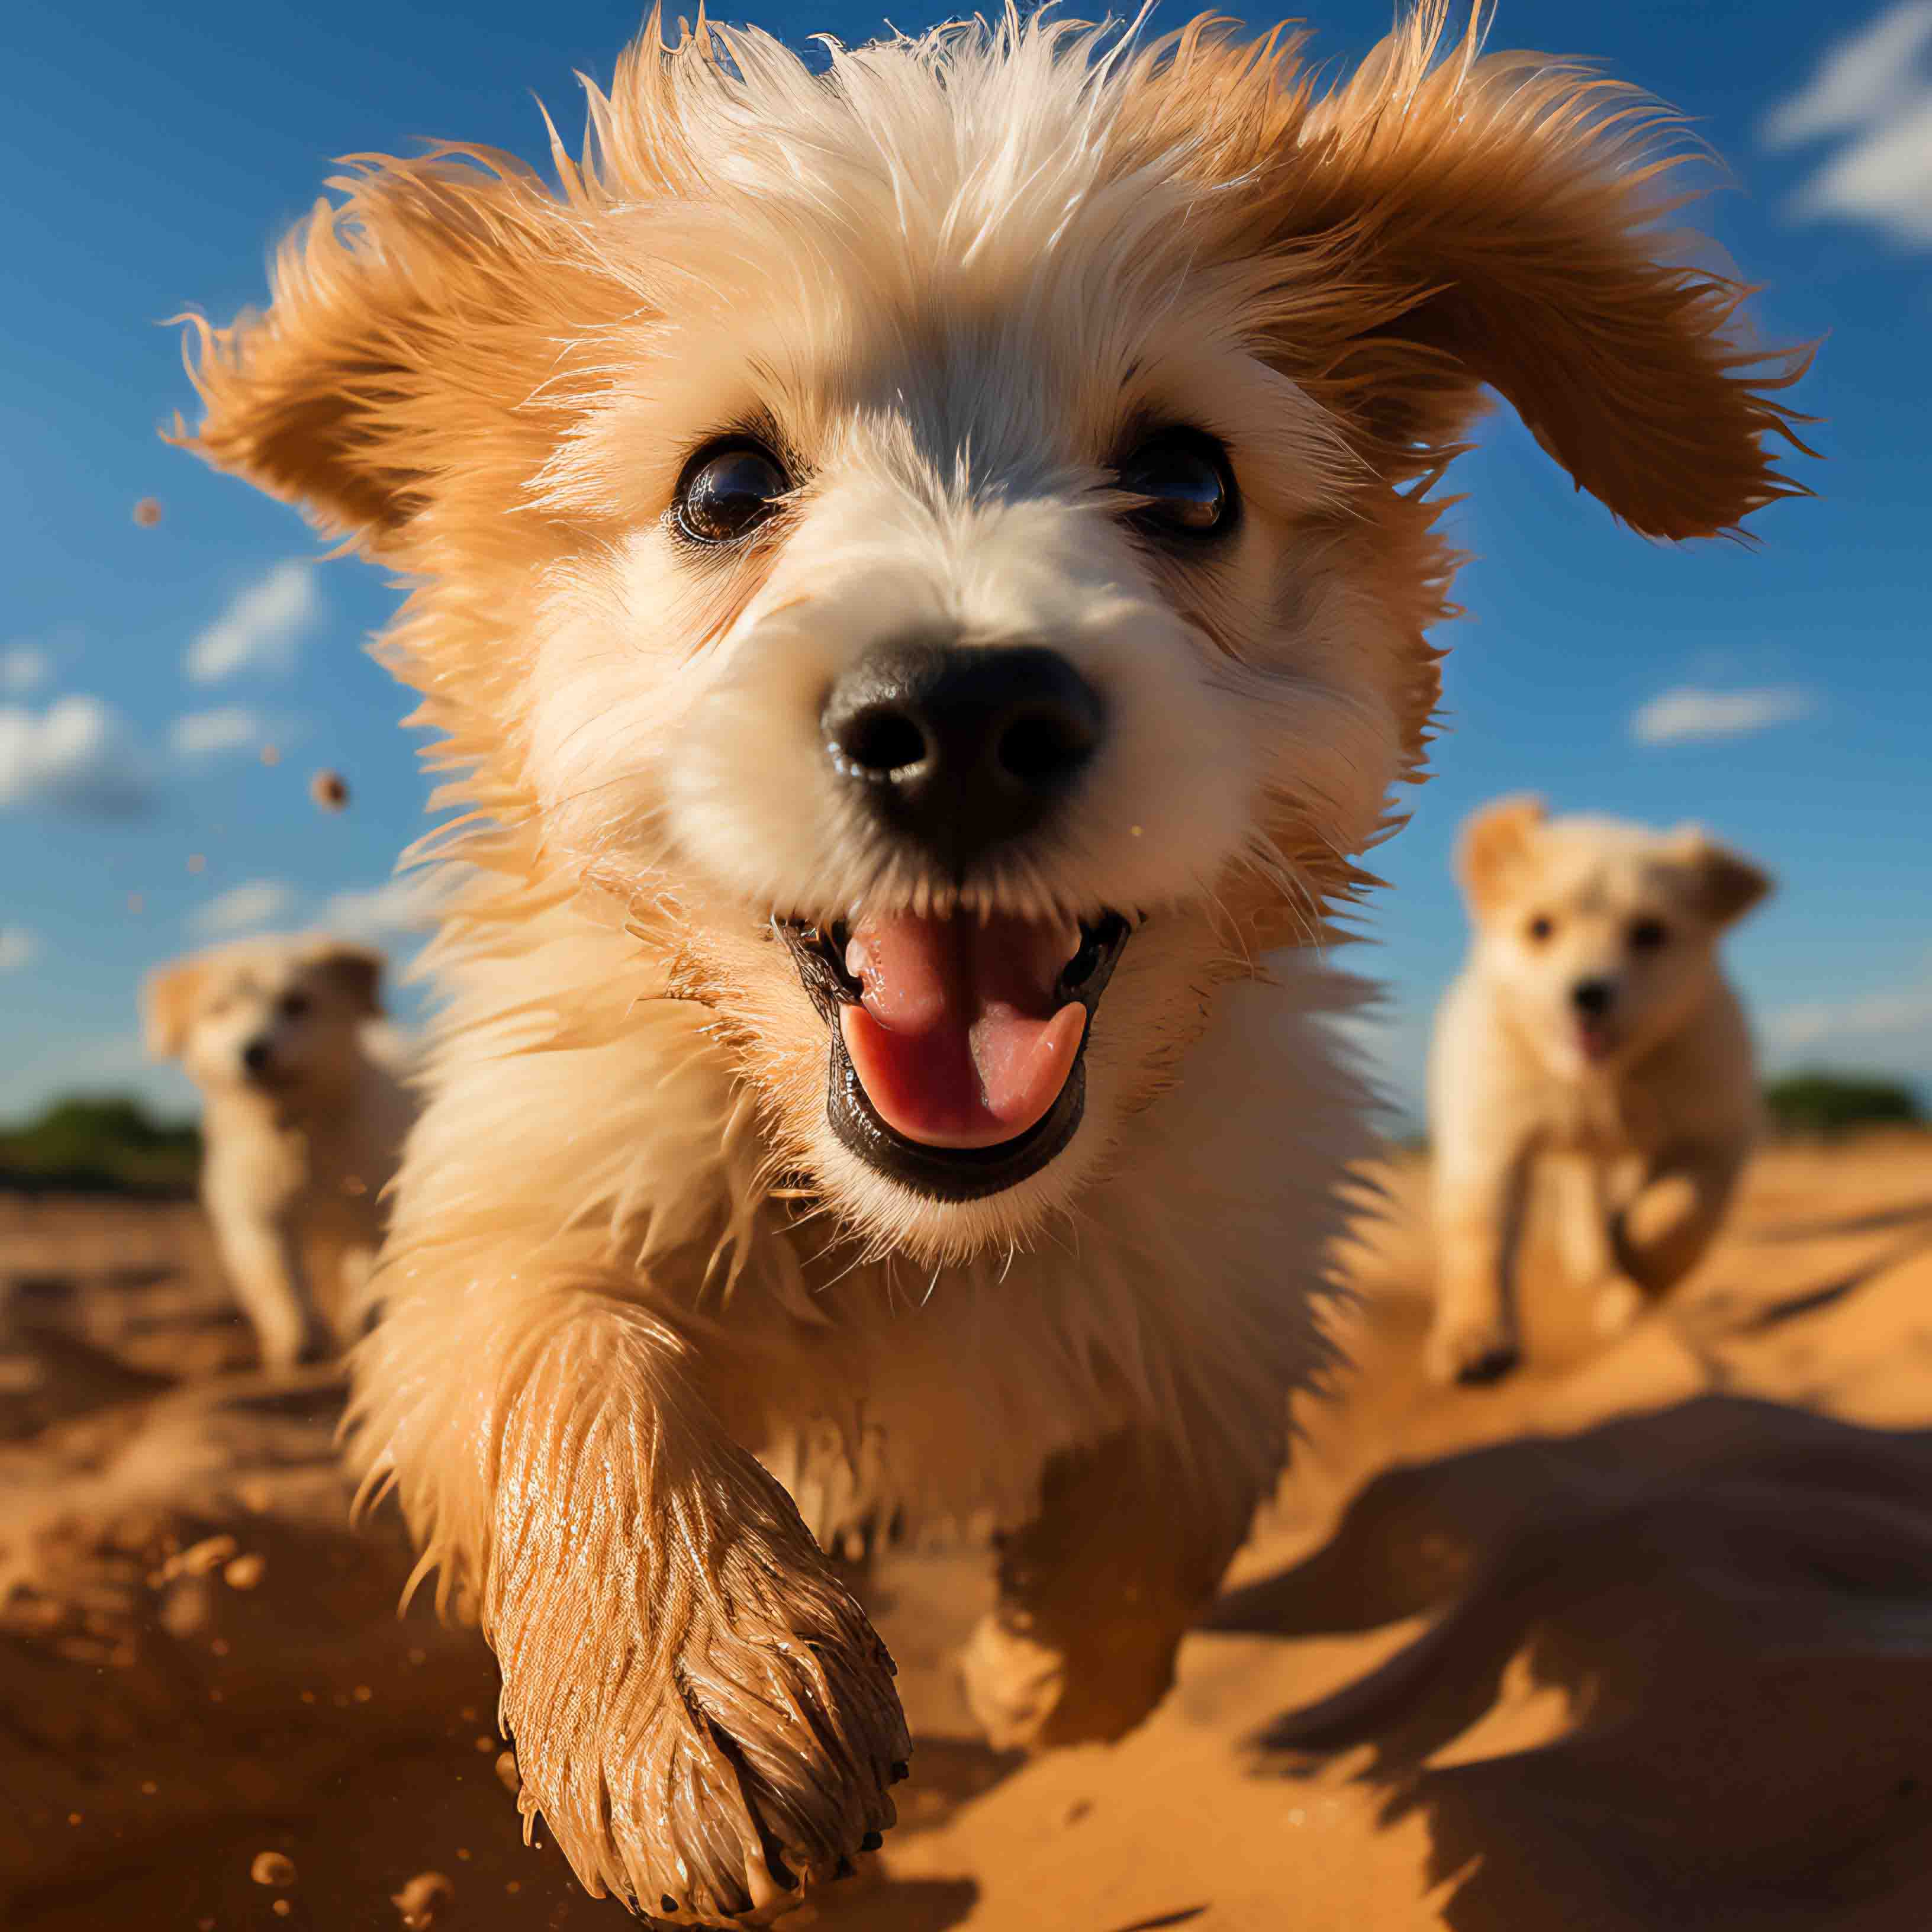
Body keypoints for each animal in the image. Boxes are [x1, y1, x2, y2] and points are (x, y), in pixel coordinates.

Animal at [144, 935, 415, 1375]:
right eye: (219, 1008)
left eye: (296, 1003)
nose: (253, 1051)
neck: (295, 1130)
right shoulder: (255, 1213)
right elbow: (277, 1279)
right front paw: (298, 1343)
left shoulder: (376, 1201)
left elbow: (371, 1269)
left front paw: (365, 1325)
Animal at [1429, 800, 1769, 1391]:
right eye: (1540, 928)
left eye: (1649, 932)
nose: (1588, 995)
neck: (1595, 1083)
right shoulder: (1489, 1133)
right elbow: (1480, 1238)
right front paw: (1472, 1337)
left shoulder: (1714, 1122)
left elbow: (1680, 1211)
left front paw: (1636, 1271)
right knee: (1580, 1202)